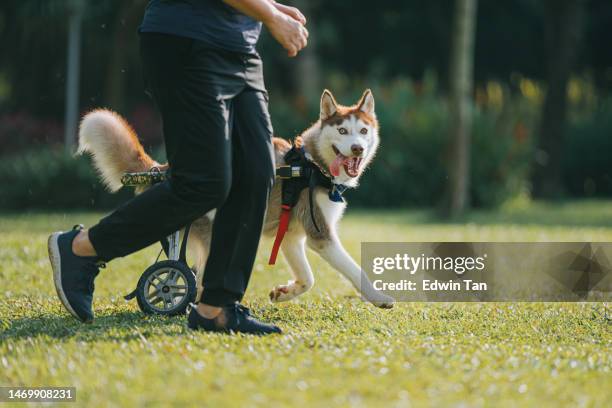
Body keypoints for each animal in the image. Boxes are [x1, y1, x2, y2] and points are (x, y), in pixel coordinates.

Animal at [77, 88, 392, 306]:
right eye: (343, 130)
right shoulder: (320, 234)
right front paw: (379, 298)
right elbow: (353, 269)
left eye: (363, 130)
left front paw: (283, 292)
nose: (357, 148)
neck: (313, 166)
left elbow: (308, 279)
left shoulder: (291, 236)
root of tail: (163, 171)